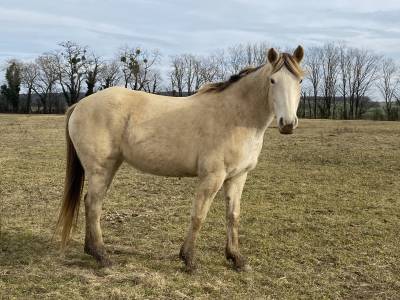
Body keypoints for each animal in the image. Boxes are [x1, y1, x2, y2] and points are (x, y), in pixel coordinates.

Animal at [56, 46, 304, 272]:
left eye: (300, 81)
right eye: (273, 80)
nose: (287, 124)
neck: (236, 116)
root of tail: (81, 104)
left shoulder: (238, 177)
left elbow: (233, 216)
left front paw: (237, 259)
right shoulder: (212, 177)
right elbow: (198, 216)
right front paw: (189, 260)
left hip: (109, 167)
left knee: (90, 202)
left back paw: (91, 250)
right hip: (101, 169)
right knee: (94, 205)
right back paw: (102, 256)